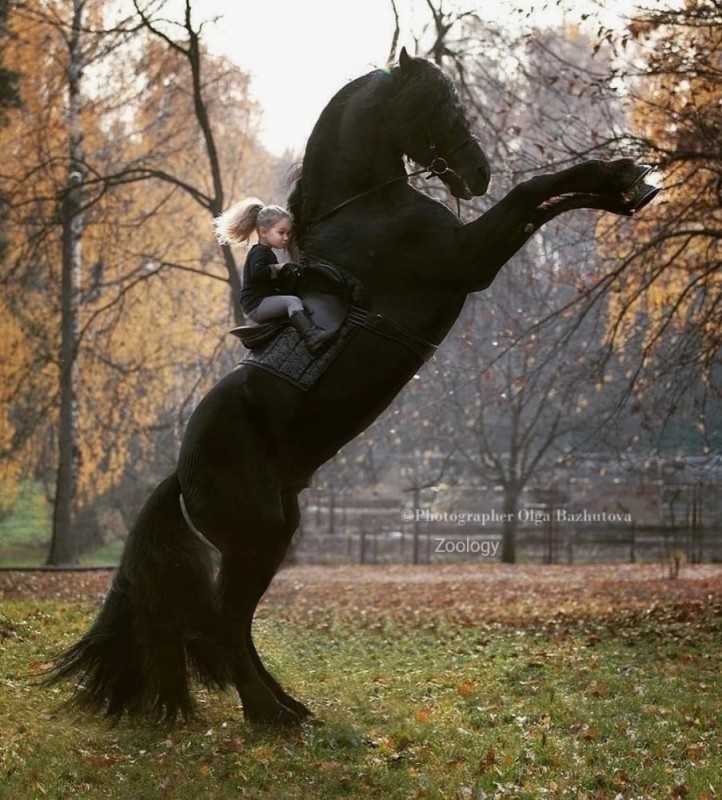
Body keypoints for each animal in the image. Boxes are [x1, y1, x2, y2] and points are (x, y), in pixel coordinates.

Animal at [47, 48, 656, 724]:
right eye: (439, 103)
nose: (478, 173)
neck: (368, 211)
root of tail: (181, 474)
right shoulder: (469, 258)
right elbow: (534, 193)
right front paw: (622, 175)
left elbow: (543, 201)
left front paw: (627, 185)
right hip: (255, 535)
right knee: (226, 623)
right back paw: (270, 716)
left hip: (276, 532)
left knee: (240, 625)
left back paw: (291, 708)